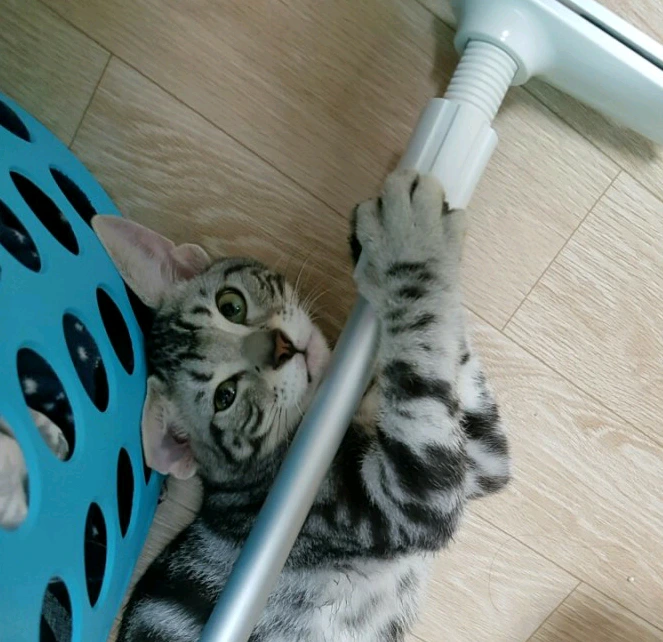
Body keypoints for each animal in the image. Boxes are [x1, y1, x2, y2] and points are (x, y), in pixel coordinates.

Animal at [93, 170, 510, 642]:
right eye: (225, 396)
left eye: (230, 305)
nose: (280, 348)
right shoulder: (407, 499)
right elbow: (421, 335)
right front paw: (409, 238)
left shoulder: (481, 459)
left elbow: (446, 351)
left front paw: (378, 249)